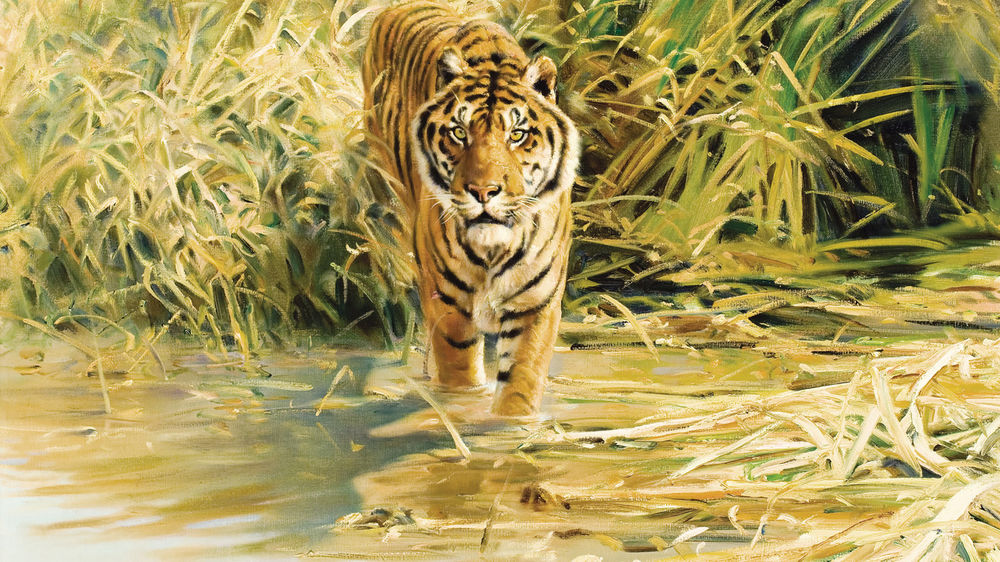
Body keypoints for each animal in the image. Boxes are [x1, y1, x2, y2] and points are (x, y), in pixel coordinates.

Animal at [362, 2, 579, 416]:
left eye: (517, 134)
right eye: (459, 133)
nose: (483, 191)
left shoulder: (535, 305)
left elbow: (521, 381)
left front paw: (510, 427)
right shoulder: (449, 305)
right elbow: (460, 379)